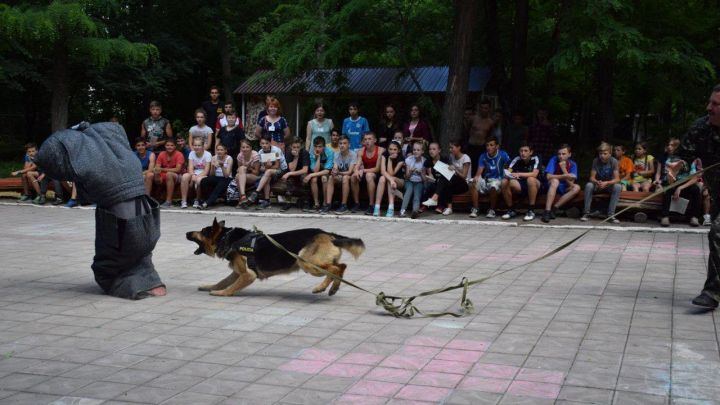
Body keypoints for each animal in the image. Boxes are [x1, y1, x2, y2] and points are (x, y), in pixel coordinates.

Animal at [186, 219, 366, 296]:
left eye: (202, 232)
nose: (187, 233)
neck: (227, 238)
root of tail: (329, 234)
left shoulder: (247, 275)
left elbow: (231, 287)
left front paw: (221, 293)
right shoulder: (237, 272)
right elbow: (222, 282)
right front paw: (210, 287)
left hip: (306, 262)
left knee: (336, 269)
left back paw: (324, 287)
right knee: (340, 268)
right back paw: (331, 287)